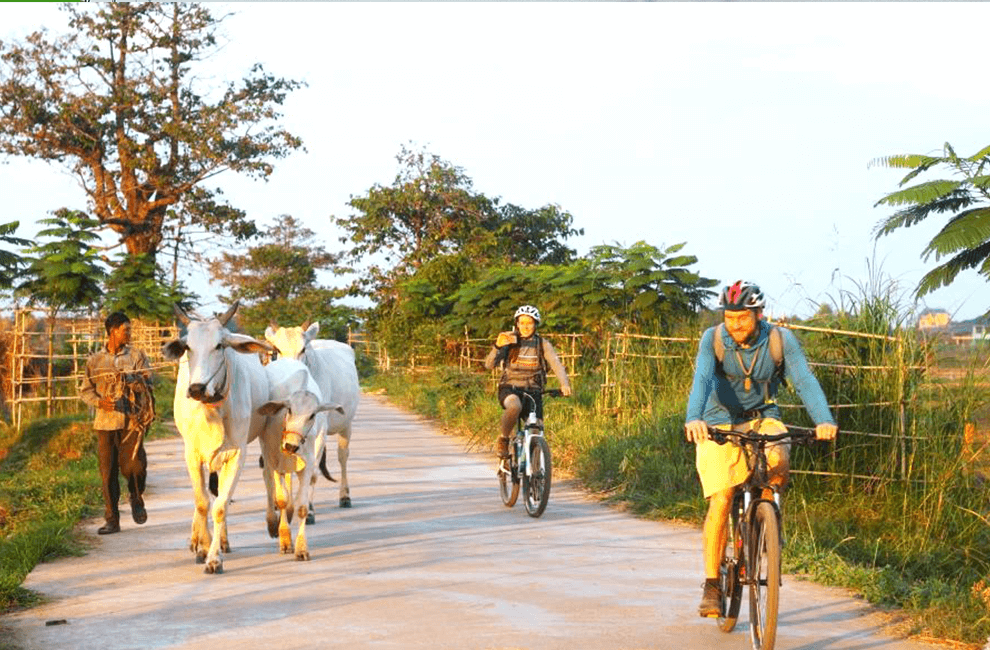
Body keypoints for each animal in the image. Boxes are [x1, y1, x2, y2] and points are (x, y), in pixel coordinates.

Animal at [164, 302, 276, 576]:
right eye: (188, 347)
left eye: (219, 346)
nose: (196, 389)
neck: (211, 411)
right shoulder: (191, 455)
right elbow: (202, 502)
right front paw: (203, 546)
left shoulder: (236, 456)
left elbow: (220, 506)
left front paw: (214, 557)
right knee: (204, 496)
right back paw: (196, 539)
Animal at [260, 356, 344, 560]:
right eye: (289, 409)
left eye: (312, 415)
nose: (290, 445)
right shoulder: (274, 460)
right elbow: (281, 499)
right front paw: (284, 540)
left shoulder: (308, 464)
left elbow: (302, 507)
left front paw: (301, 548)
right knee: (269, 485)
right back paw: (272, 522)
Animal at [266, 322, 362, 508]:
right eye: (277, 349)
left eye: (303, 349)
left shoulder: (319, 430)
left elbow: (311, 473)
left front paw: (308, 508)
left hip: (346, 424)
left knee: (343, 456)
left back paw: (345, 496)